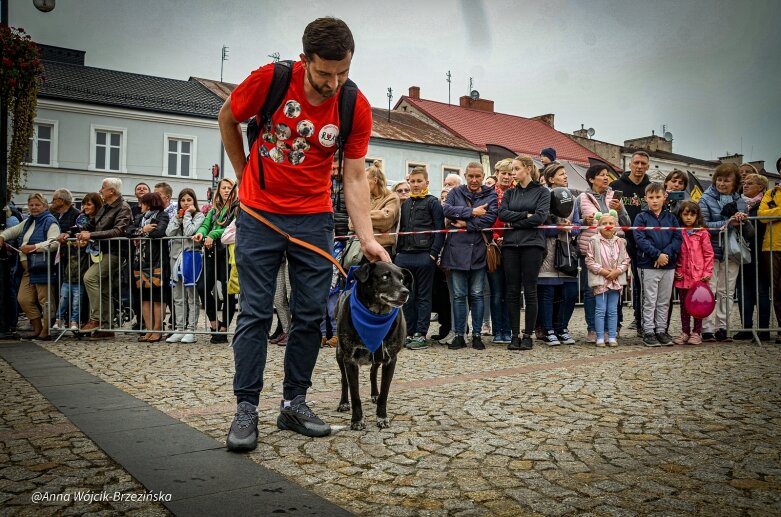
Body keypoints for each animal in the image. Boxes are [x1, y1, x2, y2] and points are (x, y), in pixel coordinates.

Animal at [332, 260, 412, 430]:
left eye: (402, 279)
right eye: (385, 277)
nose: (405, 292)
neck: (376, 316)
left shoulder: (390, 360)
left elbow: (384, 393)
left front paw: (382, 417)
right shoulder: (350, 359)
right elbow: (355, 394)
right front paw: (357, 420)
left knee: (372, 372)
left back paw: (374, 394)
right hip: (339, 354)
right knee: (343, 379)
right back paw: (343, 403)